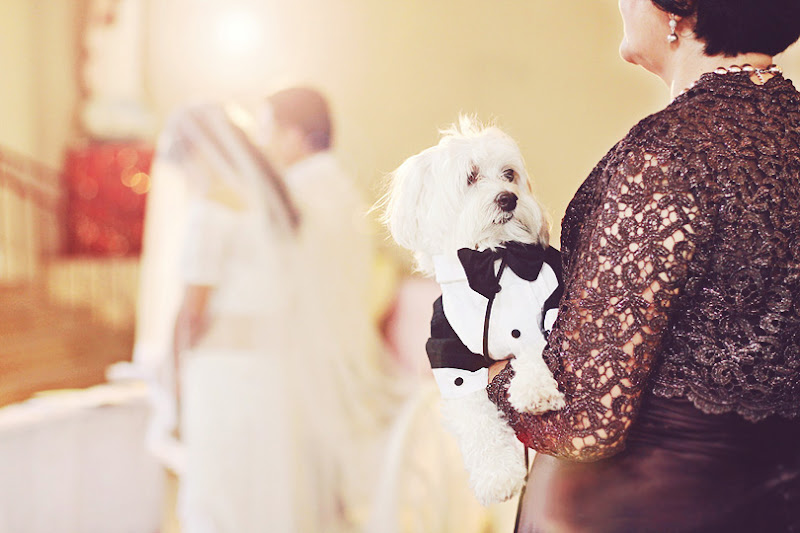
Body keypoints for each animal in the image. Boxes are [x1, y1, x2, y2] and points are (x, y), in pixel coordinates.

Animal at [383, 117, 565, 505]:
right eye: (471, 177)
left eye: (509, 174)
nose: (508, 197)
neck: (490, 260)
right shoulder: (449, 352)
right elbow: (475, 416)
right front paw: (496, 474)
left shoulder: (553, 299)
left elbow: (531, 342)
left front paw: (534, 388)